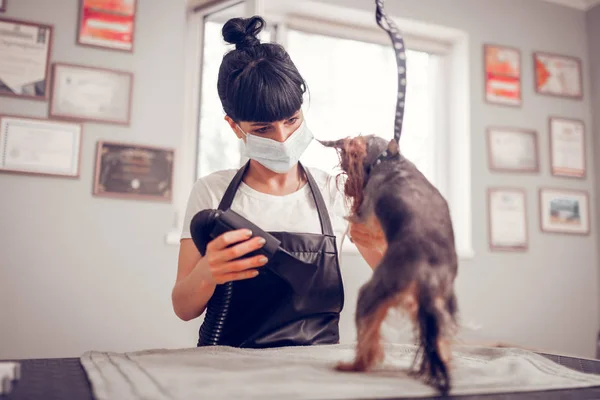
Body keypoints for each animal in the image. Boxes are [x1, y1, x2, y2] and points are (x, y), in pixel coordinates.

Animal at [322, 134, 458, 394]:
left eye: (348, 167)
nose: (347, 186)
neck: (390, 159)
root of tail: (426, 271)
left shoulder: (366, 214)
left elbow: (360, 221)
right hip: (440, 303)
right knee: (440, 340)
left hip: (373, 291)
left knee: (367, 337)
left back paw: (353, 366)